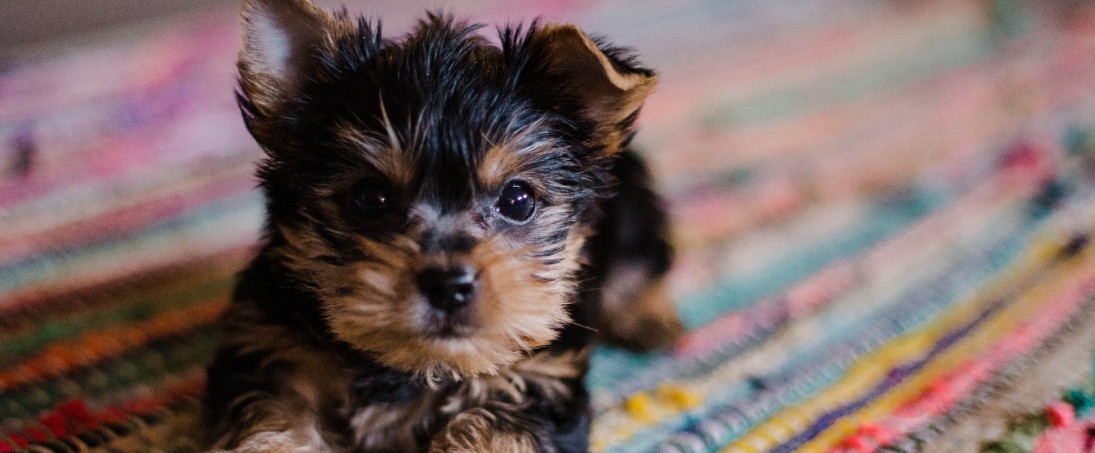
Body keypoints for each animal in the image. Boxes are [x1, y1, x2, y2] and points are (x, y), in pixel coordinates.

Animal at [204, 0, 678, 450]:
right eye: (369, 198)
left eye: (518, 200)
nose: (449, 285)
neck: (414, 366)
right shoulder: (271, 351)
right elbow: (271, 420)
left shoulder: (537, 375)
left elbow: (494, 430)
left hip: (633, 210)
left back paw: (651, 321)